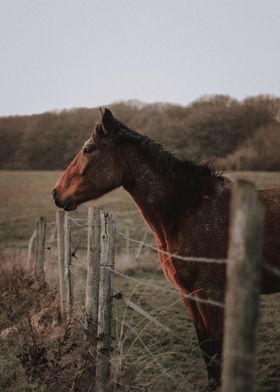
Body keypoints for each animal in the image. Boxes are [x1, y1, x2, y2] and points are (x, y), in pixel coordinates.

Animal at [52, 108, 280, 388]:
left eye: (88, 150)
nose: (56, 193)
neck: (187, 210)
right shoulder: (188, 294)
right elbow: (207, 350)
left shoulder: (211, 294)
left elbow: (216, 353)